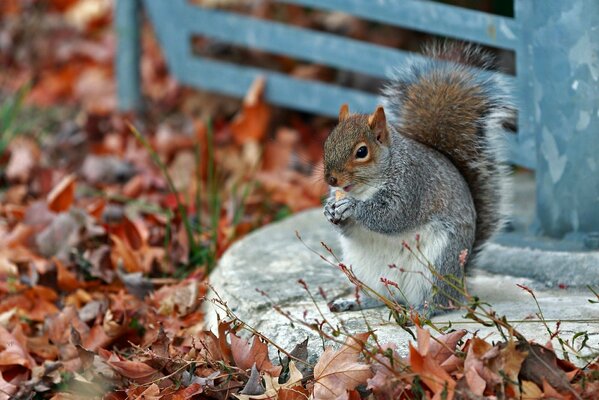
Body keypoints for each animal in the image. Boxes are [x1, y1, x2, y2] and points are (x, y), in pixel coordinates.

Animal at [326, 43, 512, 316]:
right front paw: (329, 210)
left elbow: (392, 216)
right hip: (364, 271)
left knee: (436, 301)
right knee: (380, 297)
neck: (366, 187)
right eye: (327, 141)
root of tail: (460, 283)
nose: (331, 179)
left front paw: (352, 207)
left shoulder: (413, 185)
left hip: (438, 265)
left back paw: (422, 311)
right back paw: (354, 302)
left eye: (361, 152)